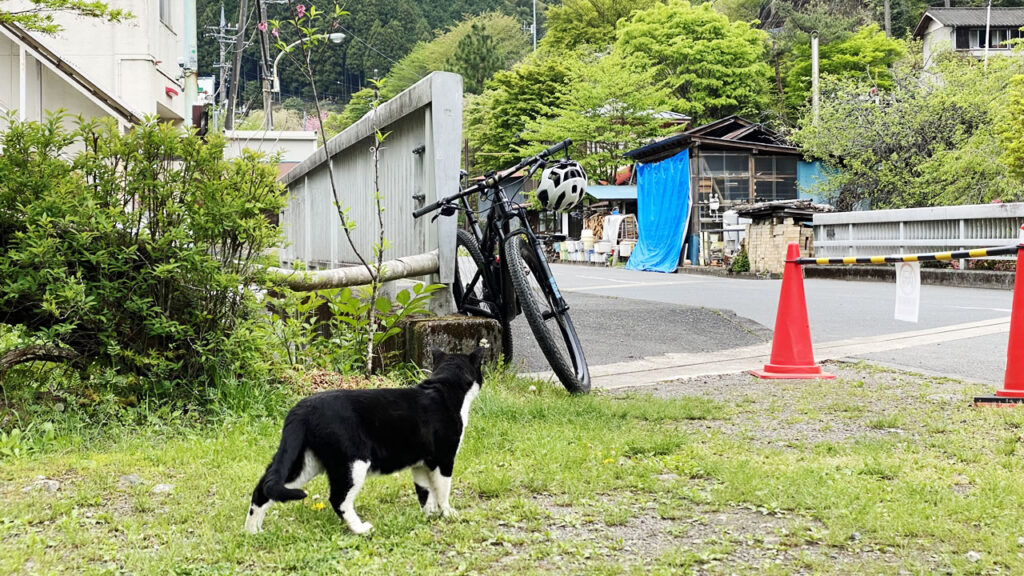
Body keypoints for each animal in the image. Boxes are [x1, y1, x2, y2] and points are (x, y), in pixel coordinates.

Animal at [247, 344, 487, 532]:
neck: (443, 387)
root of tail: (301, 409)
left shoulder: (420, 462)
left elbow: (424, 491)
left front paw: (428, 516)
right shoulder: (444, 457)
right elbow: (442, 489)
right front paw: (448, 513)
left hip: (304, 462)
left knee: (263, 488)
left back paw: (252, 532)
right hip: (352, 462)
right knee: (338, 499)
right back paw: (361, 529)